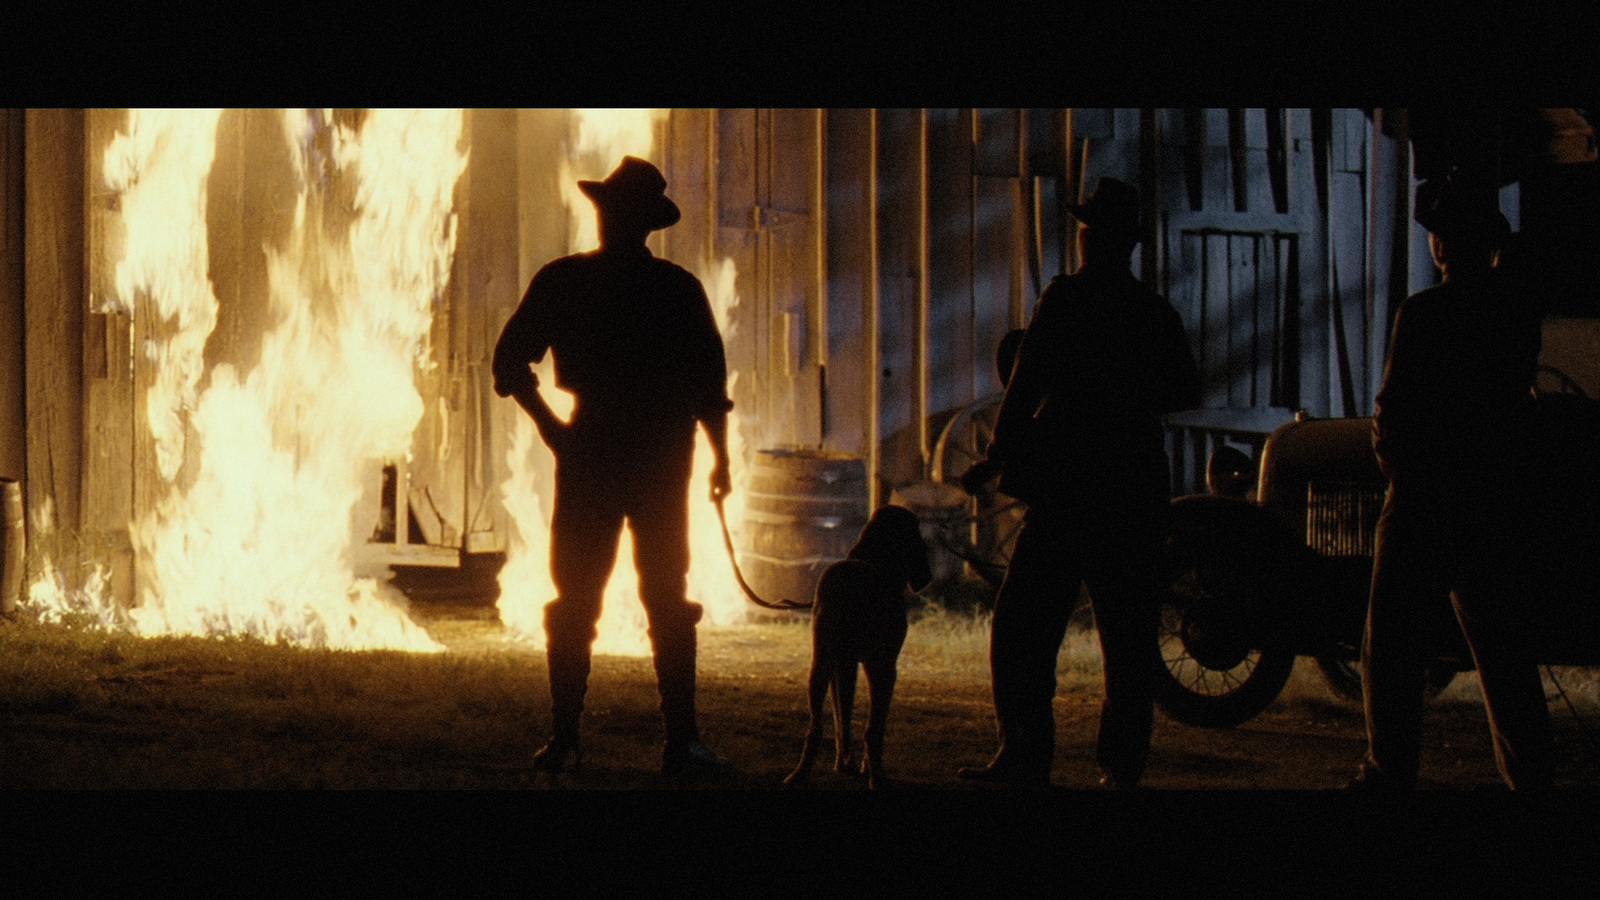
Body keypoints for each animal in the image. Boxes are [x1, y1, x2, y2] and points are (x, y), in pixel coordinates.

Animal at [784, 506, 934, 784]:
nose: (927, 578)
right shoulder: (884, 667)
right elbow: (875, 727)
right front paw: (869, 768)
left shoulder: (843, 665)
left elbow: (842, 720)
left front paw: (845, 764)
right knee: (869, 729)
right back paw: (877, 778)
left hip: (821, 665)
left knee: (817, 727)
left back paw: (801, 773)